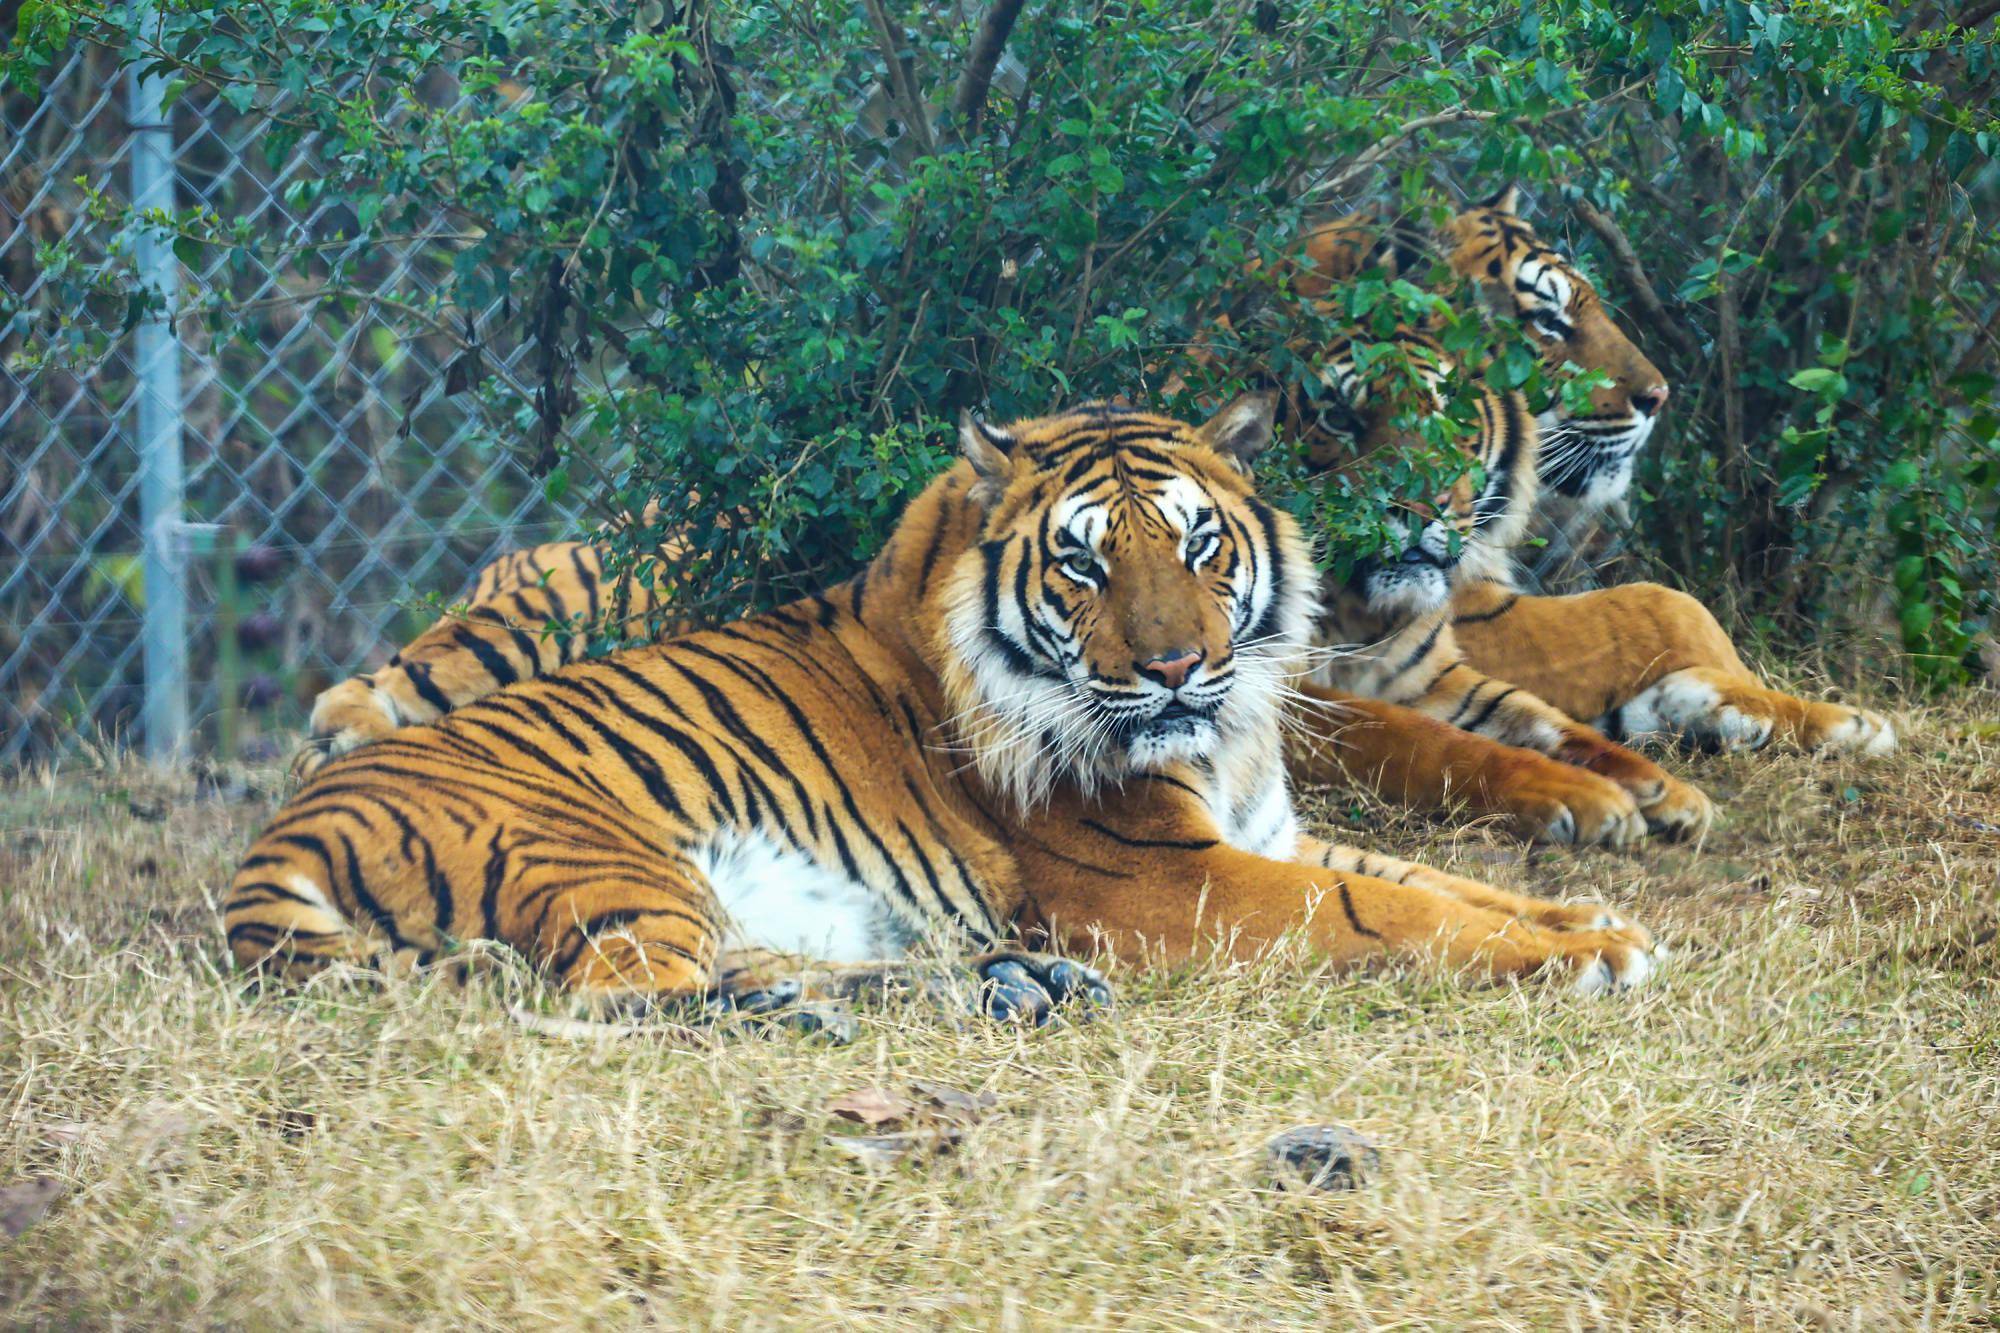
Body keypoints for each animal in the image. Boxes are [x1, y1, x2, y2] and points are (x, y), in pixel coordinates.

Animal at [227, 392, 1664, 1016]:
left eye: (1200, 544)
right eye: (1084, 563)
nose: (1176, 669)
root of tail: (271, 847)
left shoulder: (1267, 833)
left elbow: (1441, 880)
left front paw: (1589, 914)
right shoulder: (1170, 878)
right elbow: (1392, 910)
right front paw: (1582, 954)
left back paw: (1003, 984)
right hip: (599, 853)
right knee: (623, 993)